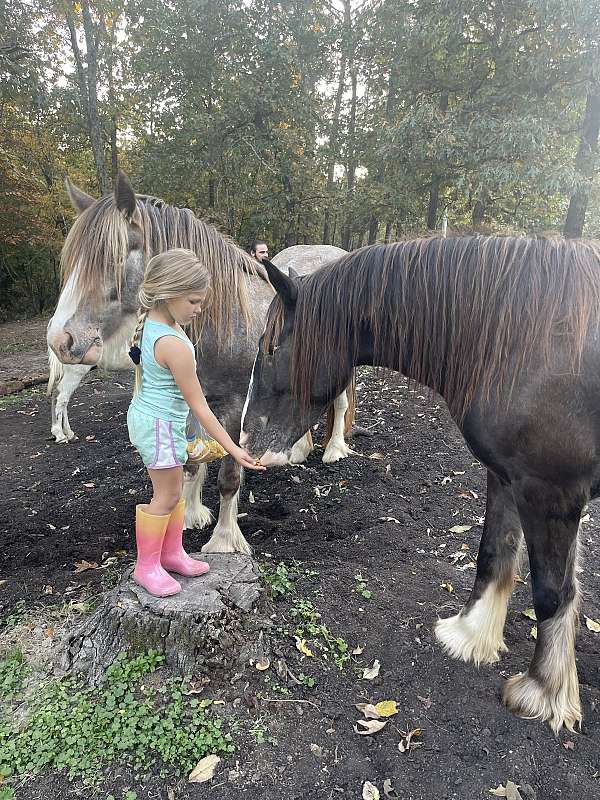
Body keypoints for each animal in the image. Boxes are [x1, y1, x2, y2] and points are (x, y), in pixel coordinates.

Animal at [48, 171, 356, 552]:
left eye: (112, 259)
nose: (60, 340)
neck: (225, 321)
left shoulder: (237, 409)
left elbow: (228, 476)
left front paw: (223, 540)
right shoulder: (194, 399)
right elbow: (192, 464)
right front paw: (191, 515)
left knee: (339, 404)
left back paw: (334, 450)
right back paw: (297, 450)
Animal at [241, 236, 600, 732]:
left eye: (272, 347)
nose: (244, 438)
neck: (525, 340)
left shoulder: (550, 492)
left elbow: (553, 593)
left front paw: (542, 691)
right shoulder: (506, 478)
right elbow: (494, 555)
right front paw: (471, 635)